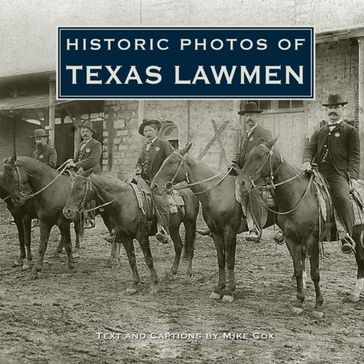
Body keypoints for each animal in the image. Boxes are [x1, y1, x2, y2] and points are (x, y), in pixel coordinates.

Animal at [62, 169, 199, 294]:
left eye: (79, 188)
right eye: (71, 187)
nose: (67, 211)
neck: (124, 203)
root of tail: (189, 191)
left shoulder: (142, 236)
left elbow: (148, 259)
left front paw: (154, 285)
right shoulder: (125, 238)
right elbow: (132, 260)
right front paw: (134, 285)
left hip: (190, 224)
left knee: (191, 248)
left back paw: (188, 274)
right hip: (174, 228)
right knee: (178, 246)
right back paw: (172, 273)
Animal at [151, 144, 276, 302]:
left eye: (172, 162)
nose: (154, 185)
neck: (217, 192)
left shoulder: (230, 232)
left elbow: (230, 260)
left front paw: (230, 292)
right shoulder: (216, 232)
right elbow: (221, 260)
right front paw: (218, 289)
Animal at [239, 138, 364, 314]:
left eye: (260, 156)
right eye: (247, 156)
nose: (242, 183)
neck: (298, 197)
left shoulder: (312, 240)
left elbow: (315, 273)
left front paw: (318, 304)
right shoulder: (291, 240)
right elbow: (298, 270)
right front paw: (299, 301)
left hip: (357, 236)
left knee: (360, 259)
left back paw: (355, 293)